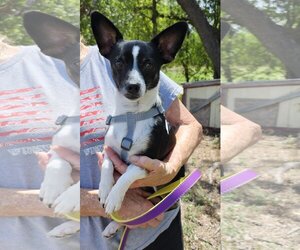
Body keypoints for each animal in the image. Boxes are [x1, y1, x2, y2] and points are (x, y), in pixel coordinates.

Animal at [91, 11, 188, 236]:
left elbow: (126, 175)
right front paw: (105, 189)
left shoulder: (146, 162)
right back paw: (113, 226)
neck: (132, 116)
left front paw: (114, 196)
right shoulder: (109, 151)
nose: (133, 86)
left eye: (148, 63)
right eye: (118, 61)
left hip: (160, 195)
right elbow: (107, 166)